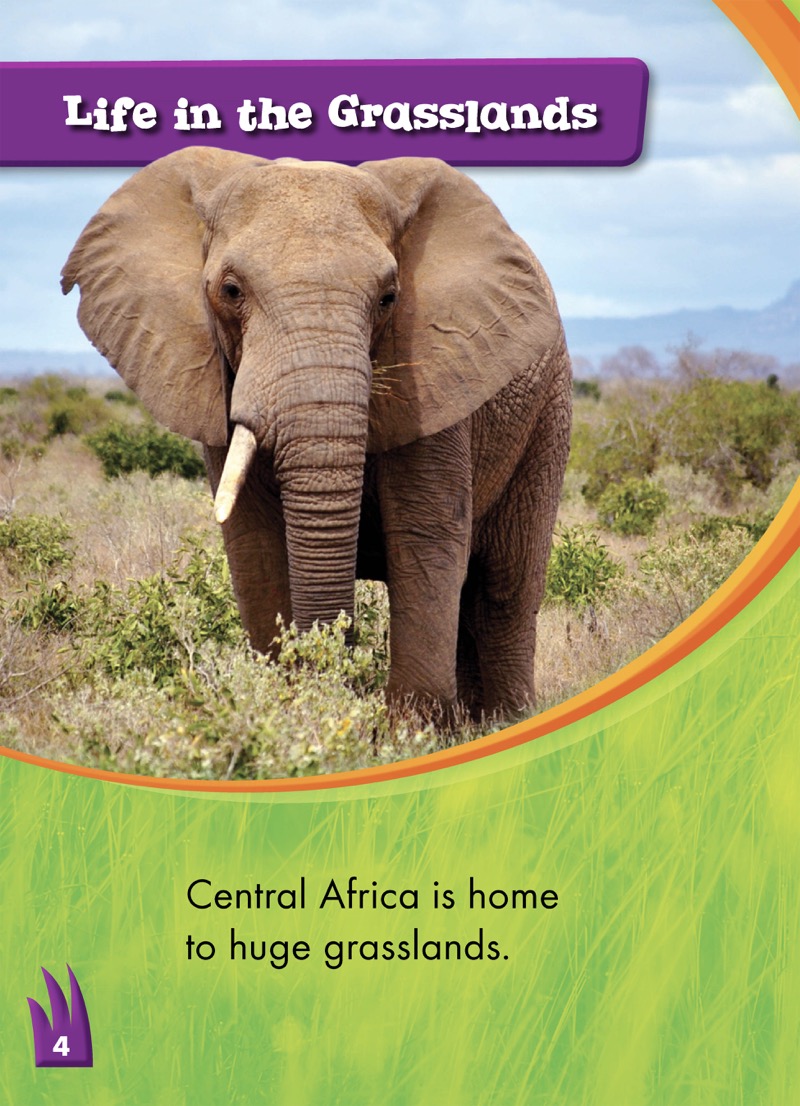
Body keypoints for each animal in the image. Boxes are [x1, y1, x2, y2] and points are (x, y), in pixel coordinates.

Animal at [62, 148, 572, 721]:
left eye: (389, 298)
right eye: (230, 291)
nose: (335, 671)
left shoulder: (437, 380)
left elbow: (426, 539)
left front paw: (408, 731)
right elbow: (254, 547)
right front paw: (291, 709)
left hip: (547, 417)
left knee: (504, 588)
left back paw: (508, 721)